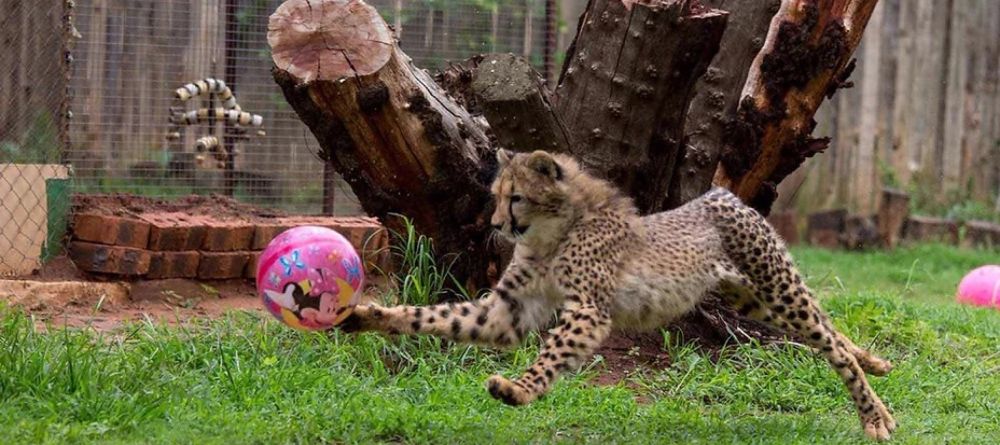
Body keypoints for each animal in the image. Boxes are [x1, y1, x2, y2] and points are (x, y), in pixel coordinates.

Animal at [342, 149, 897, 440]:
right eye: (496, 197)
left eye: (515, 197)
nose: (497, 225)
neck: (555, 232)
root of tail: (719, 193)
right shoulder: (507, 310)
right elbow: (436, 317)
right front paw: (364, 316)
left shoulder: (589, 311)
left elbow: (549, 356)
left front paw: (518, 390)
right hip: (750, 299)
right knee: (831, 332)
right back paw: (877, 369)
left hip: (777, 289)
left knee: (827, 340)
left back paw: (875, 416)